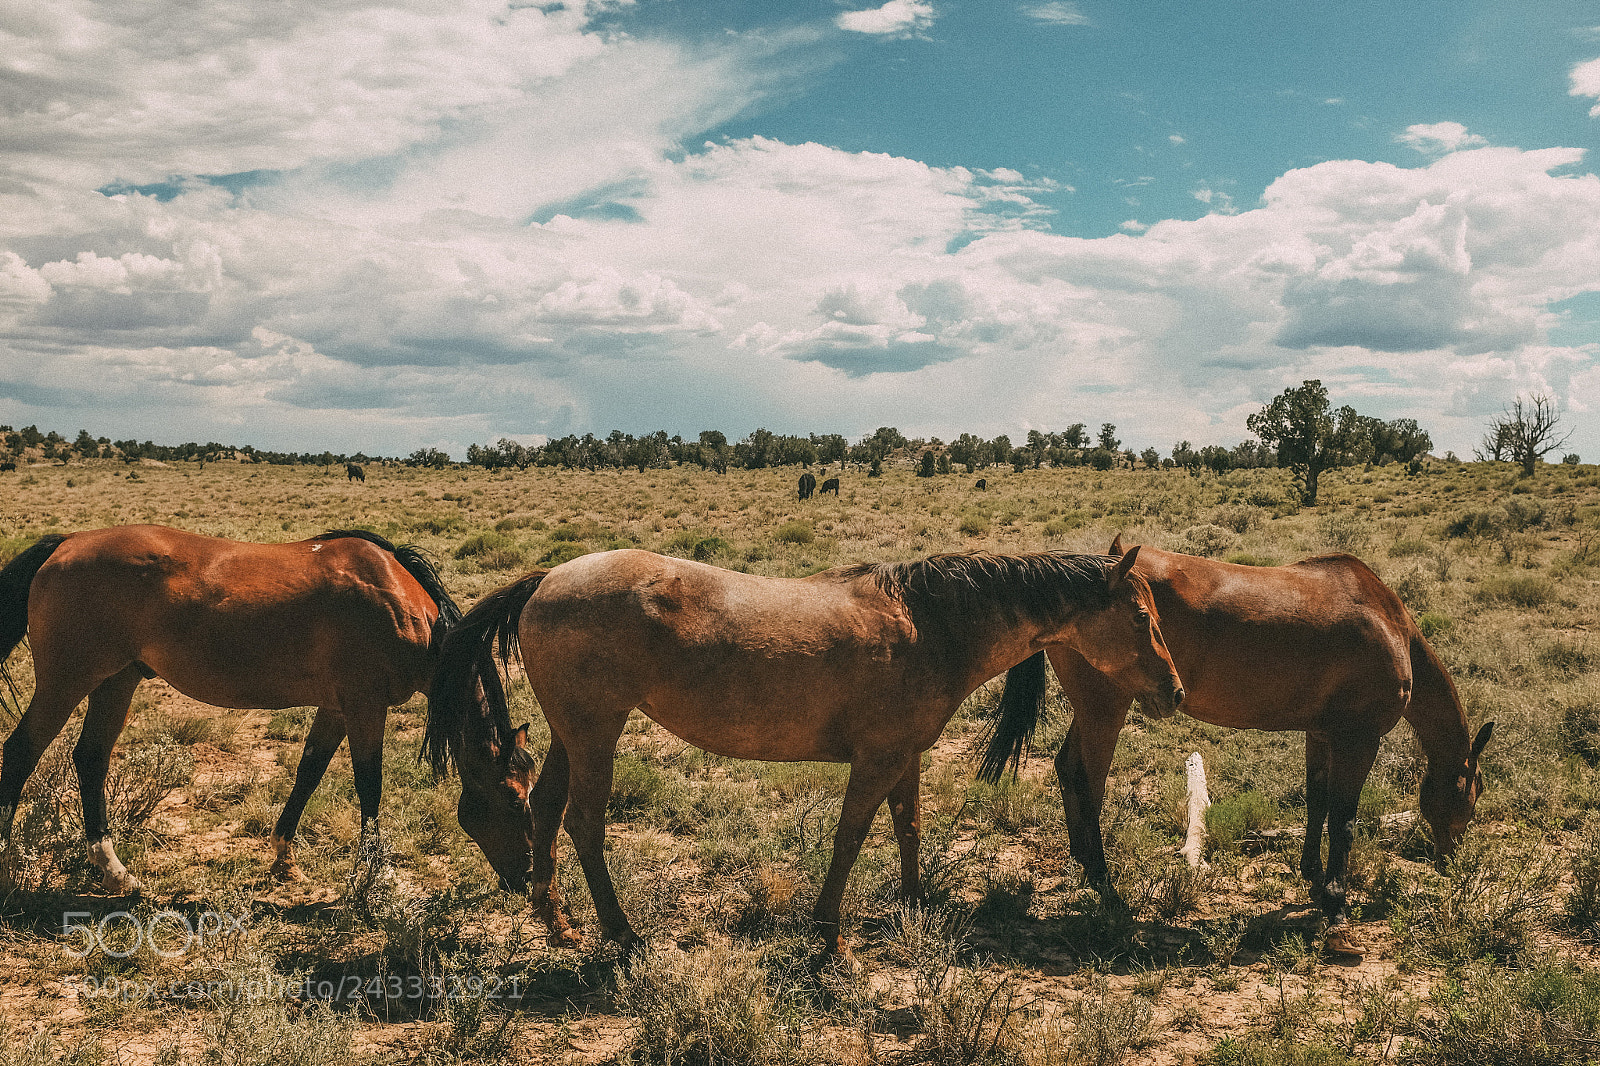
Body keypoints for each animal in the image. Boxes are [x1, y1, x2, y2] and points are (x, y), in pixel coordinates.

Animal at [0, 525, 459, 893]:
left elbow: (309, 771)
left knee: (91, 757)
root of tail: (68, 541)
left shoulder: (335, 707)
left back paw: (116, 872)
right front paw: (375, 873)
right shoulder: (364, 704)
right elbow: (369, 783)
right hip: (66, 683)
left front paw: (284, 857)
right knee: (20, 753)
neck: (396, 598)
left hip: (116, 681)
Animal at [425, 546, 1184, 958]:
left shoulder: (905, 754)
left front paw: (914, 908)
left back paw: (558, 924)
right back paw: (622, 933)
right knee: (584, 822)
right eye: (1141, 616)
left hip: (573, 734)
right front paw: (829, 934)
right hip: (596, 734)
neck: (930, 623)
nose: (1175, 690)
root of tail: (548, 580)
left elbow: (908, 828)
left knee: (546, 810)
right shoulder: (876, 760)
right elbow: (851, 837)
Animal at [982, 535, 1491, 955]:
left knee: (1067, 769)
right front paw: (1337, 907)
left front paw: (1312, 877)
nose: (1451, 857)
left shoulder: (1321, 734)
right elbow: (1344, 821)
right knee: (1088, 780)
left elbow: (1317, 803)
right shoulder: (1358, 740)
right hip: (1105, 709)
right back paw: (1102, 879)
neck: (1391, 624)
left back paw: (1083, 864)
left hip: (1095, 710)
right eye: (1476, 791)